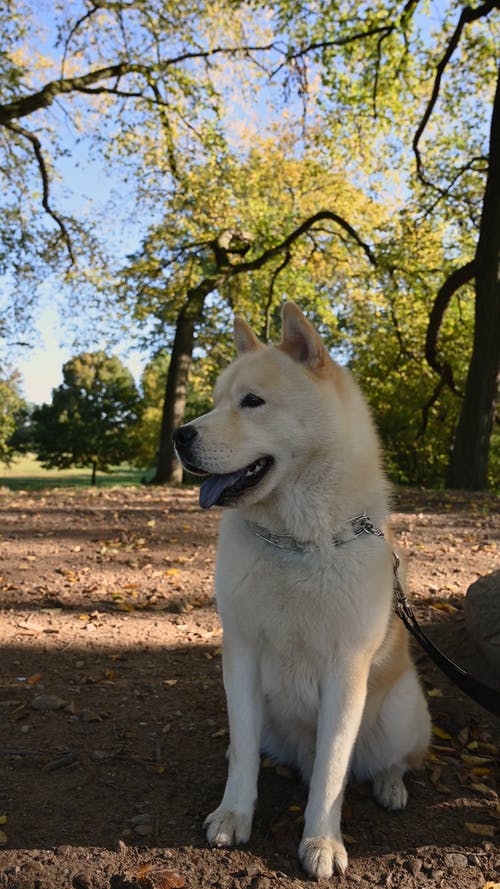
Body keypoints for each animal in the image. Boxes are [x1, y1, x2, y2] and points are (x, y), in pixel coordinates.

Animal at [173, 302, 430, 876]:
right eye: (216, 401)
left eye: (252, 402)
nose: (179, 435)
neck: (296, 543)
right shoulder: (241, 655)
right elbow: (244, 753)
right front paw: (233, 814)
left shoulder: (345, 672)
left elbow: (333, 770)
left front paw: (322, 842)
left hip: (402, 711)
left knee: (389, 761)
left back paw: (390, 786)